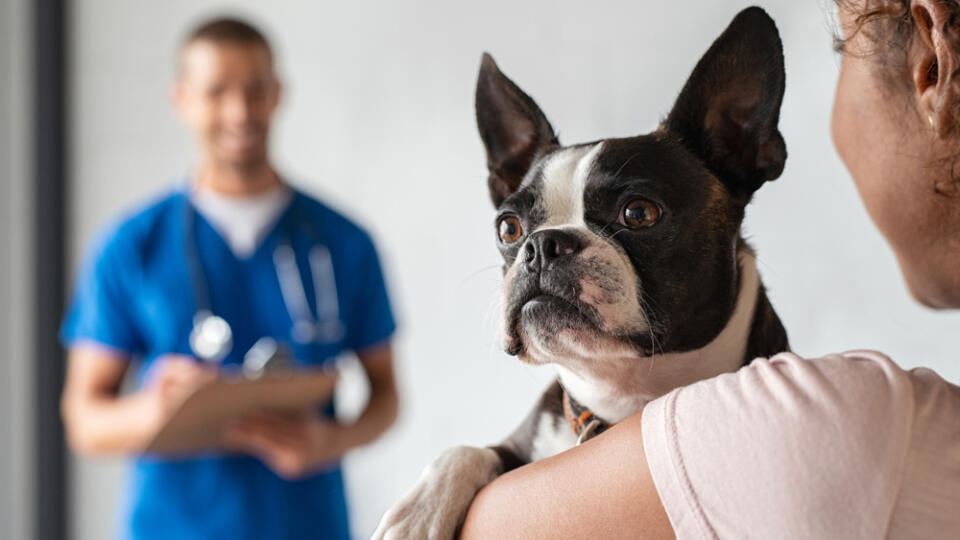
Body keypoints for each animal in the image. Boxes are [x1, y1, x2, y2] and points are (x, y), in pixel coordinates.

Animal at [374, 6, 788, 536]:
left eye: (639, 213)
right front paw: (418, 513)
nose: (541, 246)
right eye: (509, 227)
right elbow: (468, 449)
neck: (617, 397)